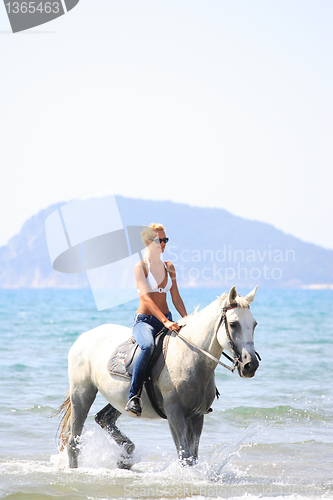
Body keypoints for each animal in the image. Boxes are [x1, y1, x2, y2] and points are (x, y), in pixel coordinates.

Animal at [57, 286, 260, 468]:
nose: (250, 365)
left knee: (104, 418)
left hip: (119, 398)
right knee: (73, 439)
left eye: (254, 324)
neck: (189, 356)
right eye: (233, 324)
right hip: (82, 393)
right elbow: (185, 457)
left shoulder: (197, 416)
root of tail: (84, 336)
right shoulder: (175, 414)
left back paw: (125, 457)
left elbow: (192, 456)